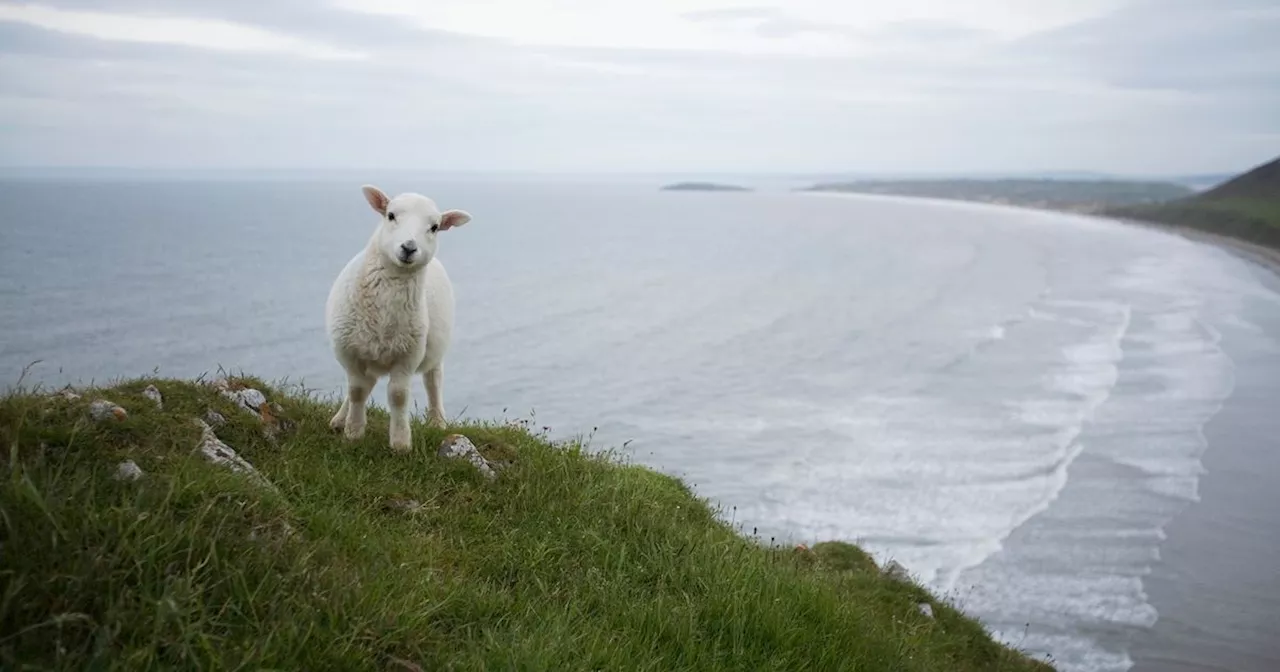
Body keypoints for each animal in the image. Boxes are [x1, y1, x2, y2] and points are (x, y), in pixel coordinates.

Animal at [327, 184, 473, 450]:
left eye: (434, 227)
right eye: (391, 215)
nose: (409, 247)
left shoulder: (408, 356)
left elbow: (398, 396)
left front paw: (400, 442)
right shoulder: (350, 352)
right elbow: (356, 391)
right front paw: (353, 432)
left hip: (433, 350)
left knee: (433, 380)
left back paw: (437, 420)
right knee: (364, 385)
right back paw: (340, 419)